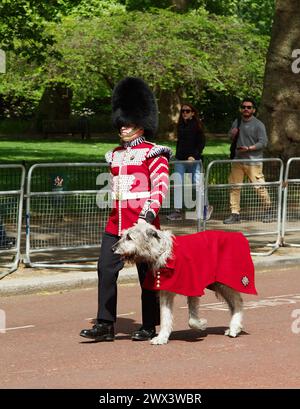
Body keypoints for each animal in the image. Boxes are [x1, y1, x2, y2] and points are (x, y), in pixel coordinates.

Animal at [112, 220, 244, 344]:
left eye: (129, 237)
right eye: (124, 235)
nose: (112, 248)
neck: (164, 253)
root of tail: (237, 235)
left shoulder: (192, 287)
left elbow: (192, 320)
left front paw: (201, 324)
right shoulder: (165, 291)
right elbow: (165, 316)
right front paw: (162, 338)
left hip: (225, 282)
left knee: (238, 301)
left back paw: (234, 328)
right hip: (217, 284)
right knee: (233, 304)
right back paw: (234, 327)